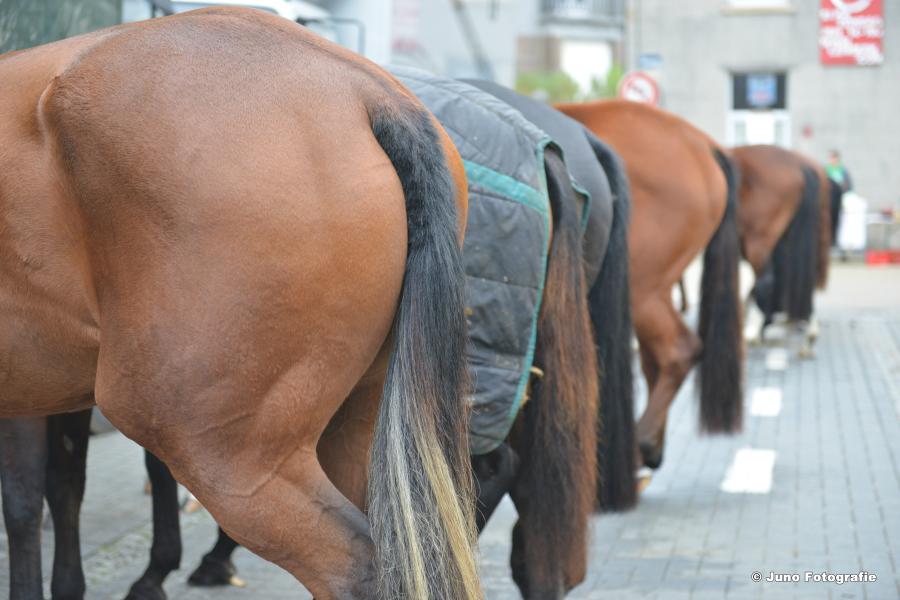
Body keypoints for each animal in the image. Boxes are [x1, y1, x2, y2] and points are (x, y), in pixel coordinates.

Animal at [0, 7, 480, 600]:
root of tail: (367, 92)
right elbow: (64, 486)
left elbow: (23, 502)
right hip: (357, 433)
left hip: (224, 456)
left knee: (357, 565)